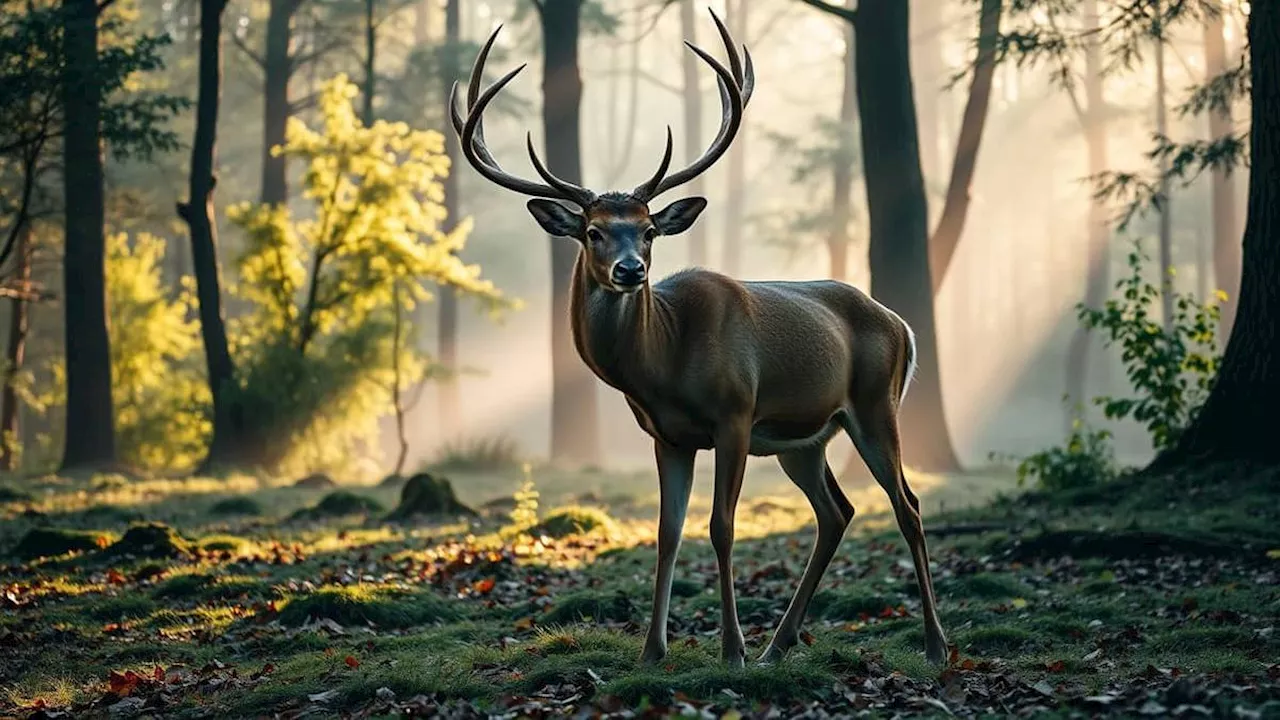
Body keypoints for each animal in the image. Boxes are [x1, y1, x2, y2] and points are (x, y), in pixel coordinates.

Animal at [445, 9, 947, 666]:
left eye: (650, 229)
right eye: (593, 231)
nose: (631, 270)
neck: (665, 364)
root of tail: (901, 324)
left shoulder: (734, 413)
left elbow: (721, 526)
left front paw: (731, 649)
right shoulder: (667, 435)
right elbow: (667, 532)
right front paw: (652, 651)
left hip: (873, 404)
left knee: (907, 505)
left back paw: (934, 645)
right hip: (803, 439)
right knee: (837, 511)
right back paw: (779, 644)